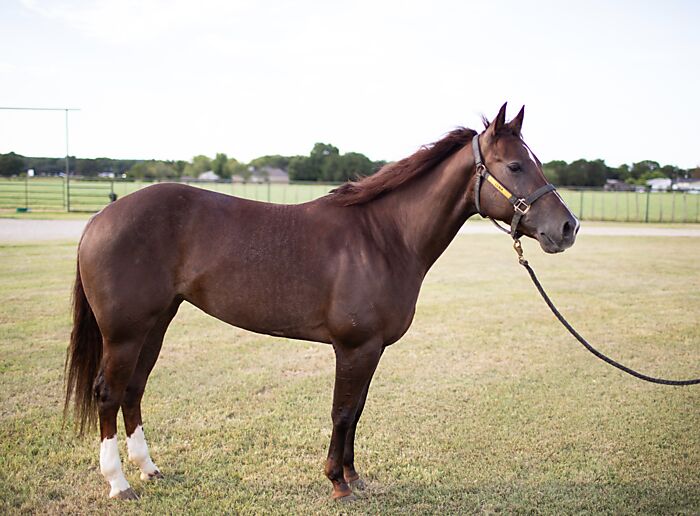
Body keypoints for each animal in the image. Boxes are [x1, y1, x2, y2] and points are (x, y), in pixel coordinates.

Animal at [65, 103, 579, 501]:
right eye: (515, 166)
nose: (568, 227)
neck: (383, 238)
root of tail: (101, 218)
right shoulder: (353, 347)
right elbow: (342, 412)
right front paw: (337, 483)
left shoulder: (371, 349)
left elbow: (357, 411)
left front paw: (353, 476)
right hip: (125, 332)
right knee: (108, 393)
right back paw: (118, 483)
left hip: (156, 323)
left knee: (134, 390)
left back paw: (148, 468)